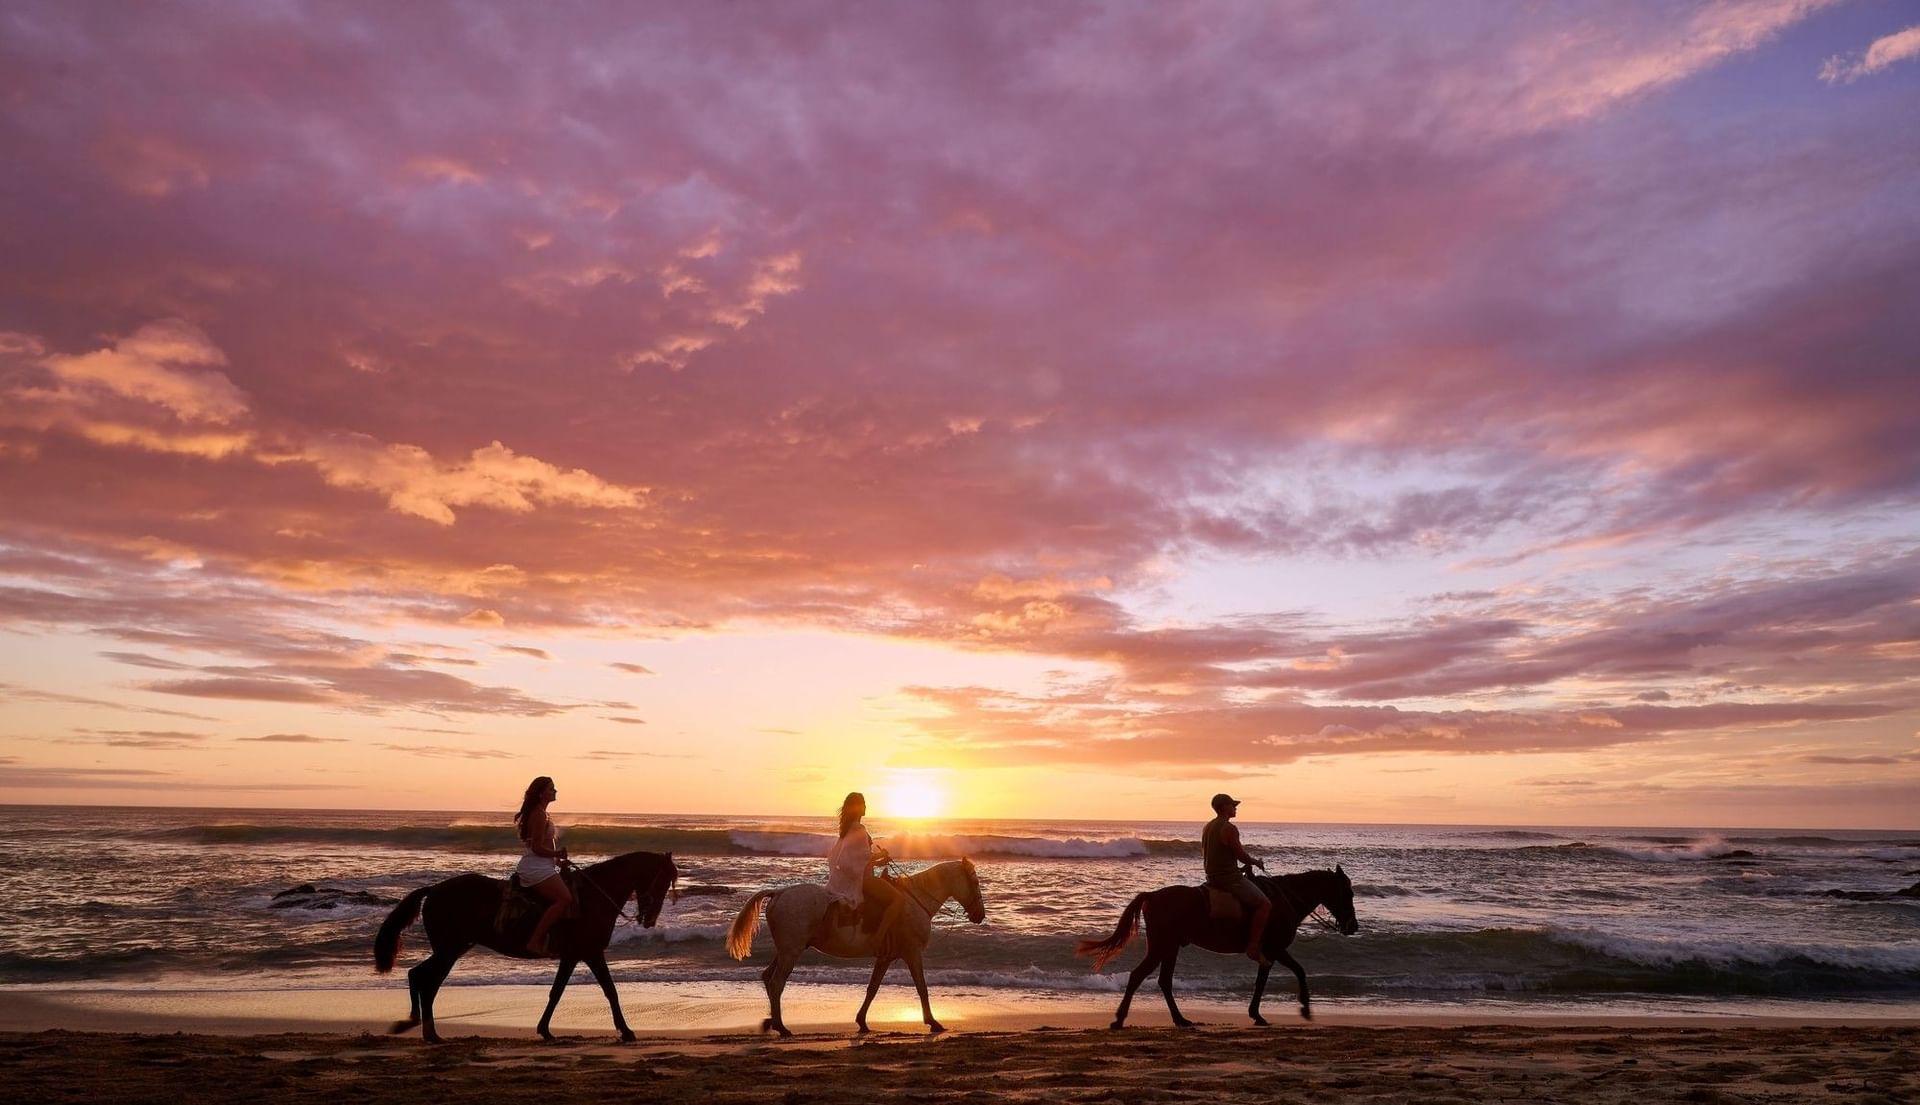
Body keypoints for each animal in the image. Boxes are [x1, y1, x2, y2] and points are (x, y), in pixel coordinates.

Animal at [373, 850, 678, 1043]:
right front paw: (626, 1031)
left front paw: (545, 1029)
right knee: (427, 981)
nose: (650, 919)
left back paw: (419, 1027)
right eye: (663, 881)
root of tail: (434, 890)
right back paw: (428, 1031)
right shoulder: (589, 953)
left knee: (419, 975)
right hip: (449, 949)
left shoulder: (574, 956)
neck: (594, 897)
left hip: (452, 948)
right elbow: (608, 991)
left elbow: (557, 992)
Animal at [725, 858, 986, 1037]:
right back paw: (782, 1027)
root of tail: (779, 893)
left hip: (785, 951)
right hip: (791, 952)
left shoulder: (886, 957)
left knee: (767, 977)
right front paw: (933, 1022)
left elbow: (872, 989)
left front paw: (862, 1022)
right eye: (975, 882)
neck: (915, 901)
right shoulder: (912, 953)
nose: (980, 915)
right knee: (777, 983)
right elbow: (922, 988)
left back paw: (770, 1022)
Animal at [1076, 865, 1359, 1029]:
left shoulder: (1269, 953)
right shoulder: (1275, 949)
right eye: (1349, 893)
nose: (1353, 926)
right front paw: (1303, 1008)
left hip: (1169, 947)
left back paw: (1179, 1019)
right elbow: (1294, 972)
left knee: (1163, 981)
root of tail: (1152, 896)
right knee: (1139, 976)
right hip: (1162, 946)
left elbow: (1266, 980)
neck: (1285, 898)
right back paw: (1120, 1019)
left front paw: (1257, 1014)